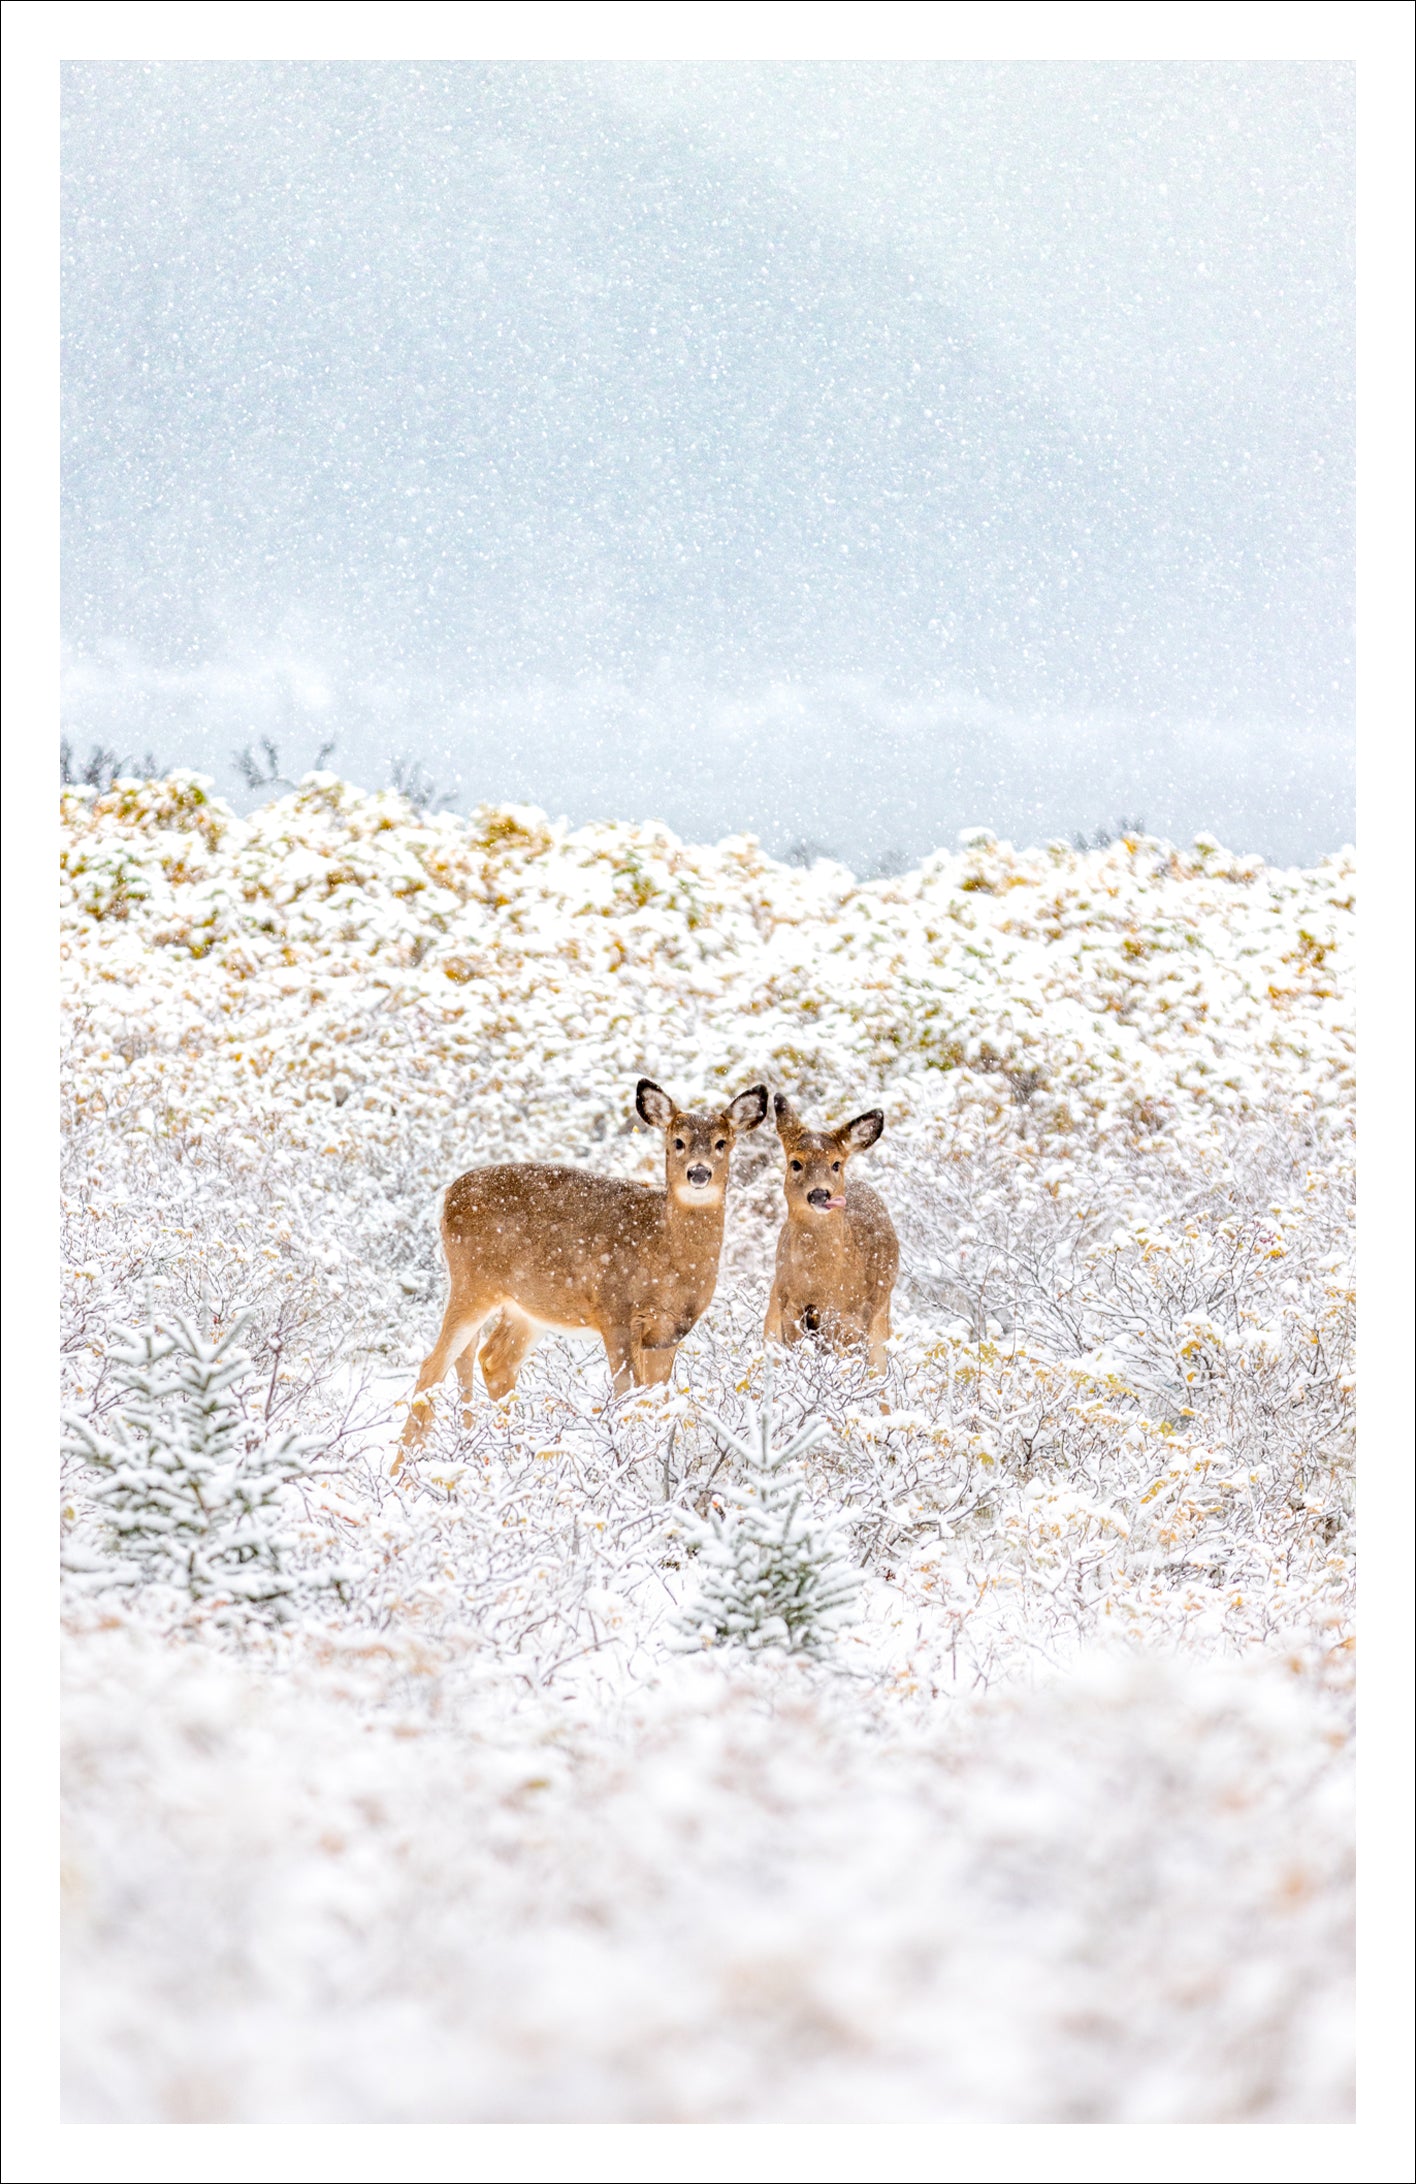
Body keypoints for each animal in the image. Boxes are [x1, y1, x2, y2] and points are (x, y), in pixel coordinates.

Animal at [395, 1078, 769, 1464]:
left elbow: (659, 1397)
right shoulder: (615, 1310)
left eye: (721, 1143)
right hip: (473, 1281)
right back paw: (405, 1467)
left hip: (528, 1306)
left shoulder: (669, 1331)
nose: (698, 1172)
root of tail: (447, 1196)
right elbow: (627, 1392)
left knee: (493, 1360)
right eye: (677, 1141)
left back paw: (511, 1452)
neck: (668, 1257)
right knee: (433, 1366)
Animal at [764, 1093, 898, 1371]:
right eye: (796, 1163)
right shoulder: (790, 1309)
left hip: (880, 1319)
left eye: (836, 1164)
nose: (819, 1193)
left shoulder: (852, 1319)